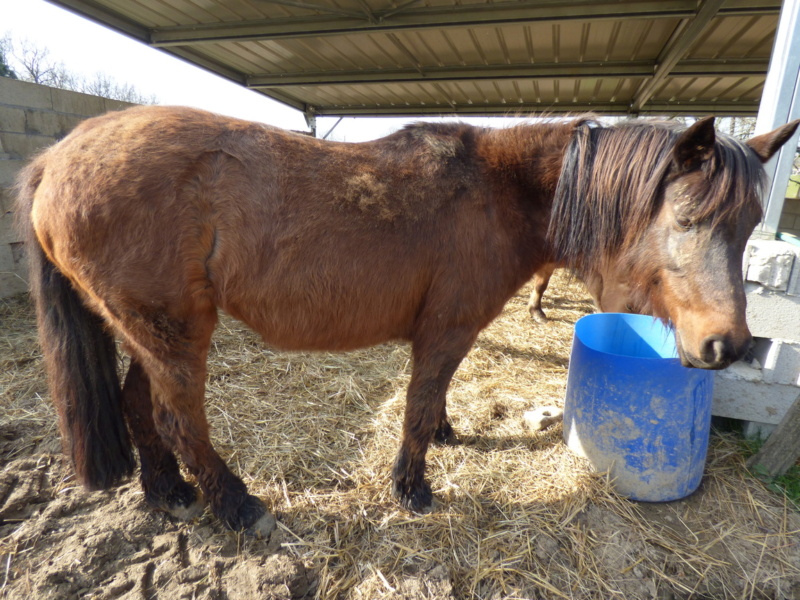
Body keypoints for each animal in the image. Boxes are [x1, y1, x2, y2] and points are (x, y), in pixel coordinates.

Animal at [14, 106, 800, 536]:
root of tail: (57, 156)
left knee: (138, 409)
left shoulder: (448, 333)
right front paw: (413, 487)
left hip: (149, 330)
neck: (499, 190)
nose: (728, 346)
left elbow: (435, 399)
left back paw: (169, 494)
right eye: (688, 219)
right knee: (179, 421)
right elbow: (418, 408)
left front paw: (446, 436)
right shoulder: (445, 330)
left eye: (749, 226)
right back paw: (235, 505)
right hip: (173, 332)